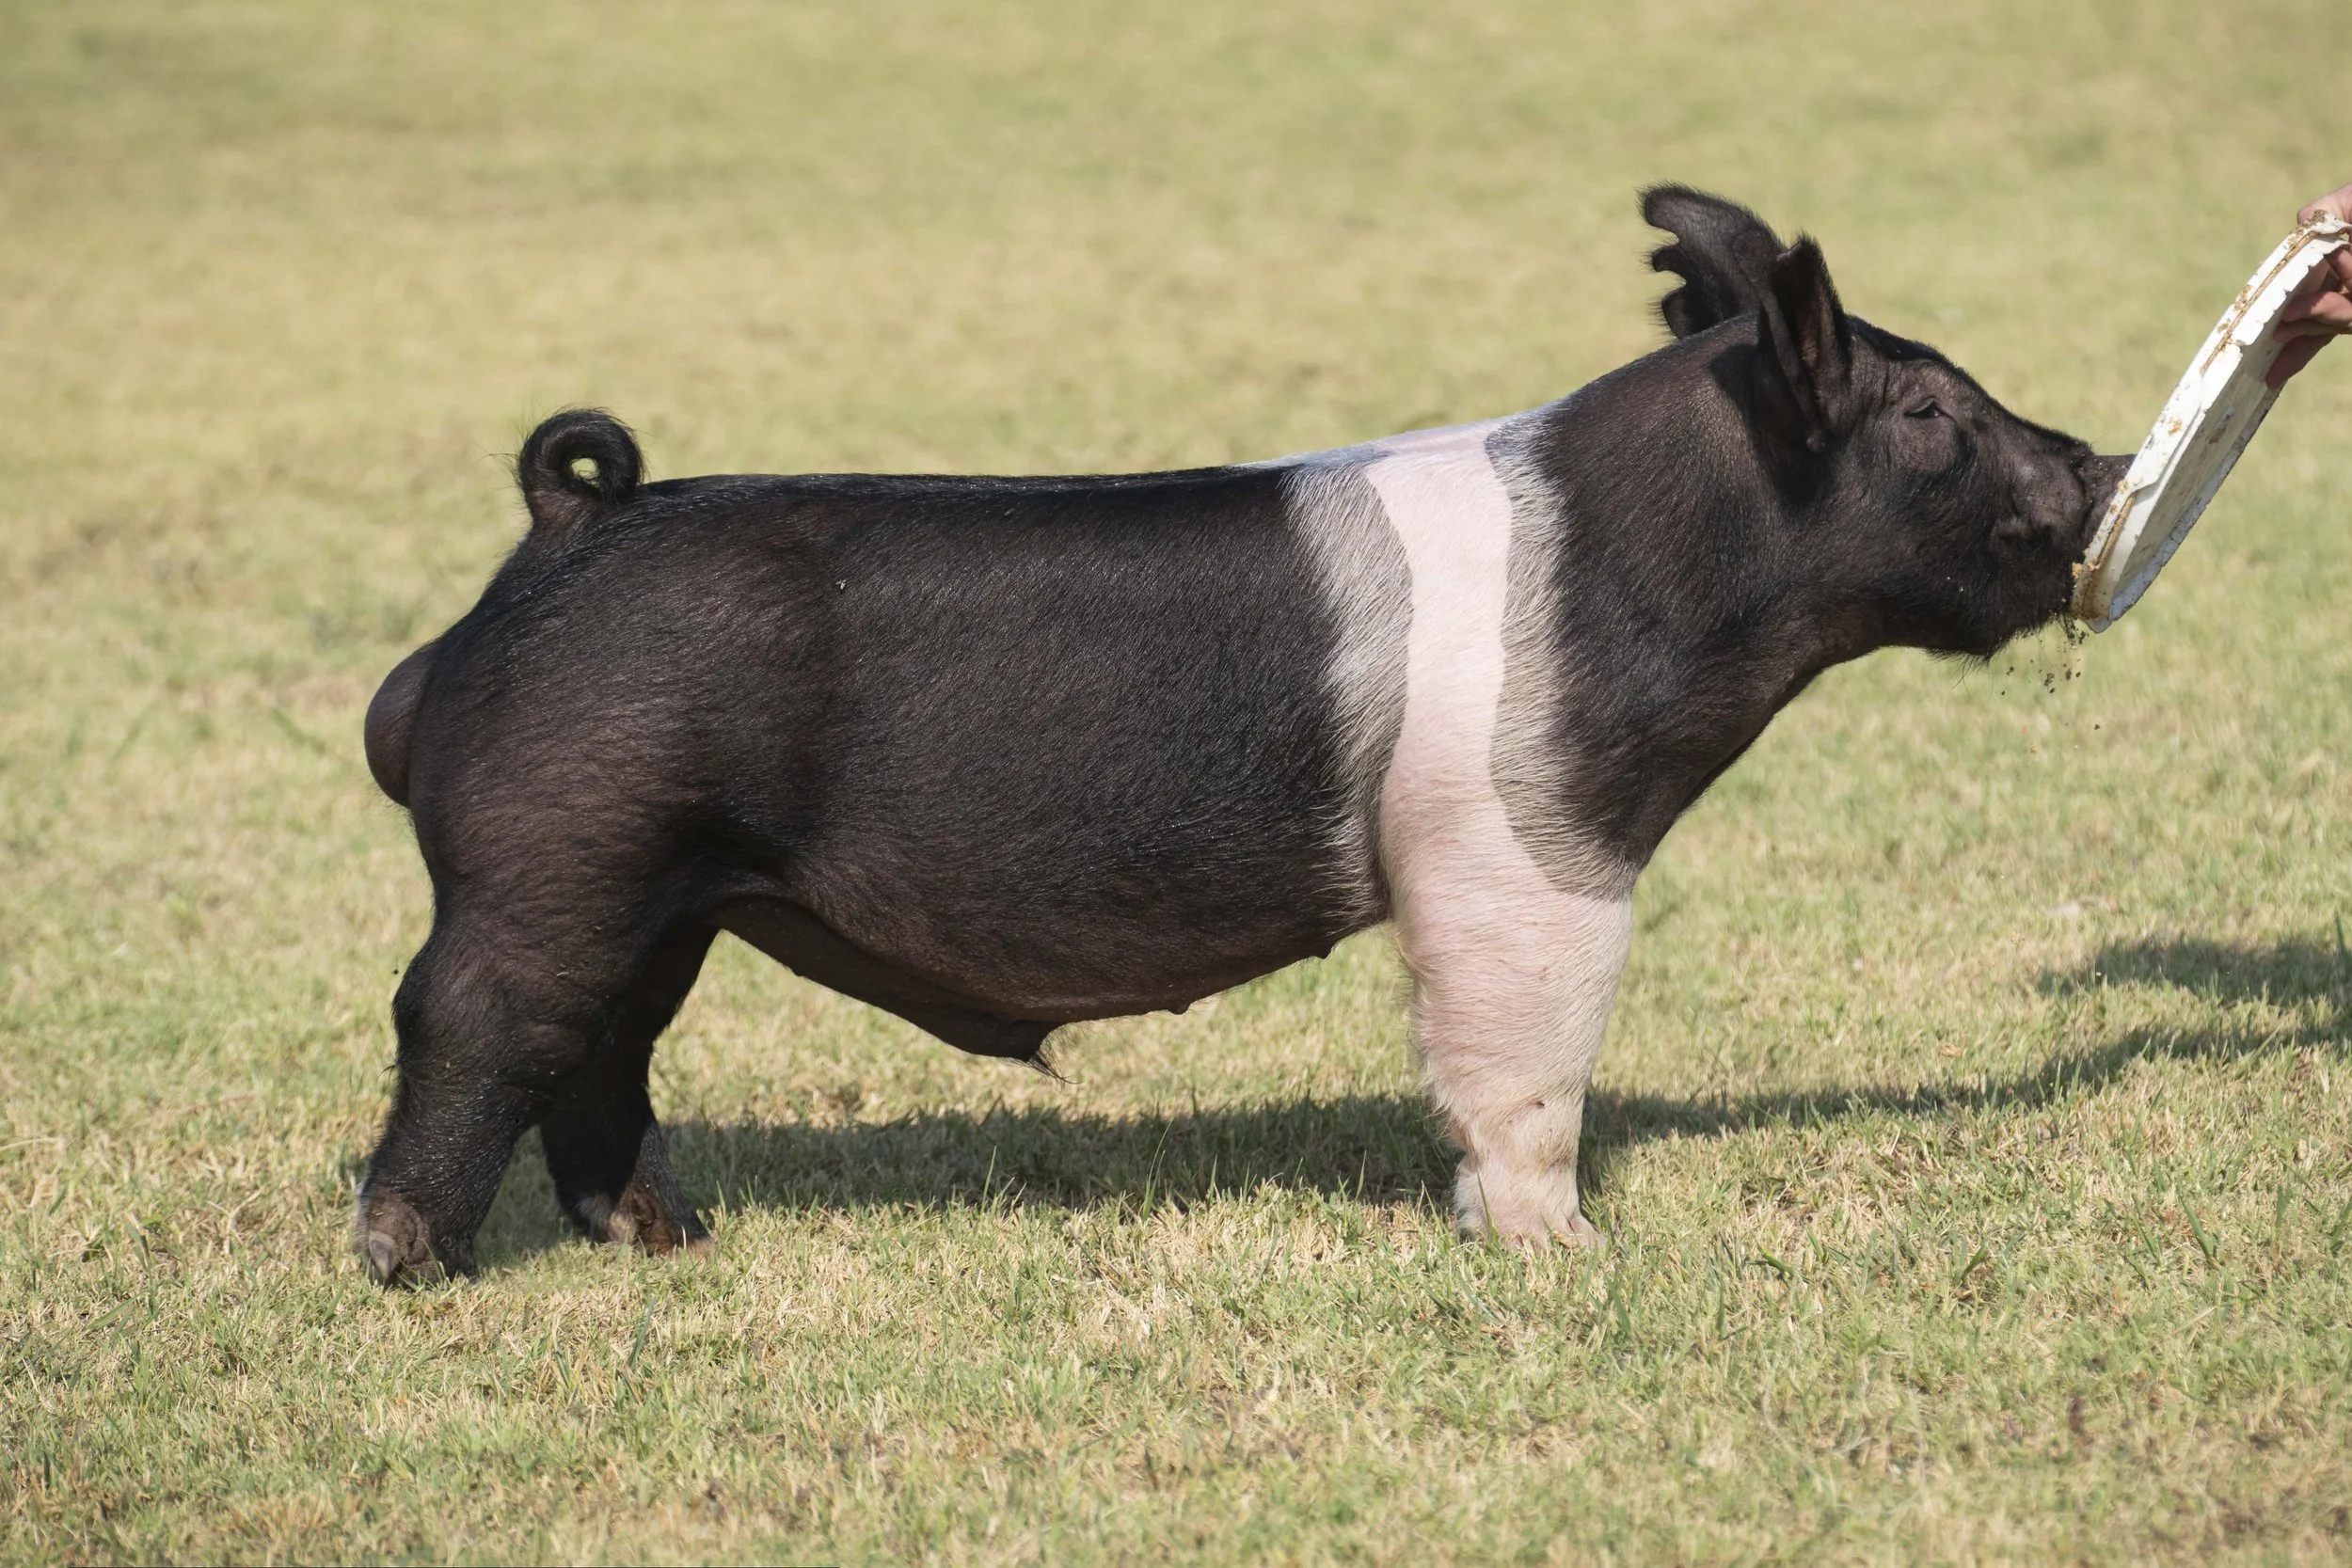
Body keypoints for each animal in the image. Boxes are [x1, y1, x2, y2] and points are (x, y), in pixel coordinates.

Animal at [354, 187, 2125, 1283]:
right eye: (1930, 415)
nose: (2099, 463)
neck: (1654, 567)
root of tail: (561, 531)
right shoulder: (1524, 843)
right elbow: (1530, 1057)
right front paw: (1567, 1259)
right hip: (555, 857)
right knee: (468, 1023)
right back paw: (414, 1265)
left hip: (662, 896)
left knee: (604, 1052)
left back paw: (669, 1242)